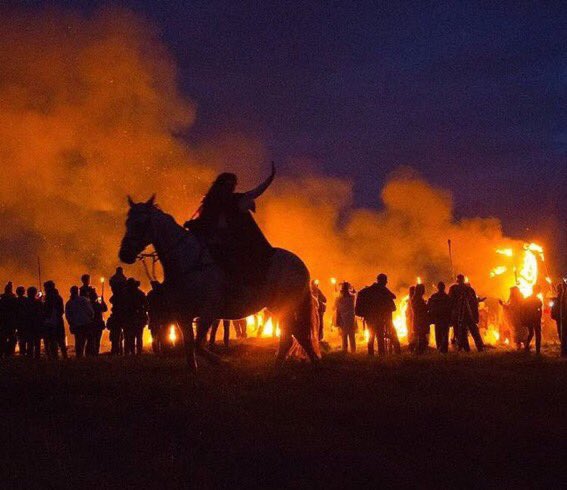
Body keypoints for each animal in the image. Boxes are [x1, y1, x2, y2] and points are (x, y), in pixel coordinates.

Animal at [118, 195, 320, 372]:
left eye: (141, 223)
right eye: (127, 222)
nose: (124, 254)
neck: (189, 262)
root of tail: (300, 265)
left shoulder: (207, 313)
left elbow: (198, 344)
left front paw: (222, 362)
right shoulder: (183, 316)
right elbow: (190, 344)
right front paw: (193, 368)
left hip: (285, 307)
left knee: (291, 336)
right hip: (277, 308)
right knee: (297, 335)